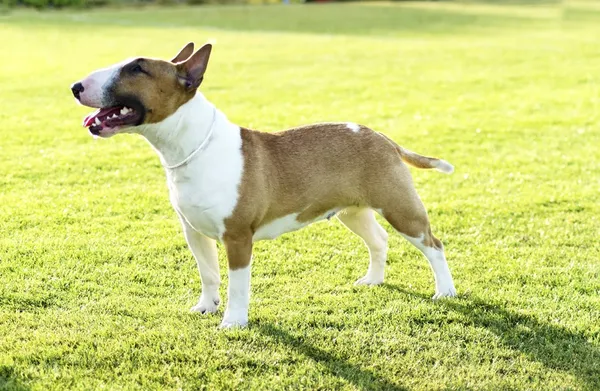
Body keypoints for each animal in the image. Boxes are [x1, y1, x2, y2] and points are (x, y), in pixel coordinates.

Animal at [69, 42, 454, 328]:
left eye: (137, 69)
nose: (75, 87)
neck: (190, 146)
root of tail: (383, 138)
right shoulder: (193, 231)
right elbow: (208, 273)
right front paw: (206, 307)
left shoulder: (238, 236)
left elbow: (238, 285)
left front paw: (233, 322)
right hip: (353, 211)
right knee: (379, 240)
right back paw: (373, 280)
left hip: (399, 207)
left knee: (433, 244)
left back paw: (445, 292)